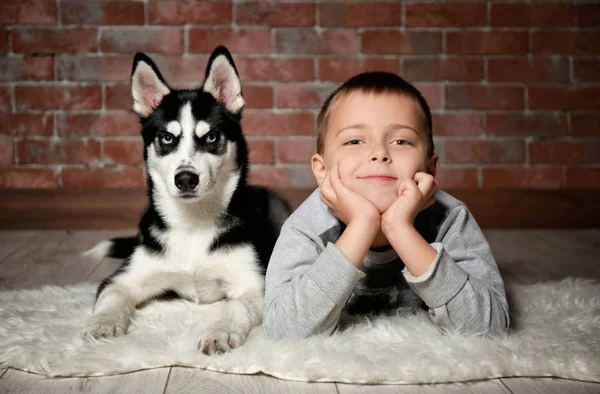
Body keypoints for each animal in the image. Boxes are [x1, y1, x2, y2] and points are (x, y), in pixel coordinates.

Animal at [84, 46, 290, 354]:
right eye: (168, 138)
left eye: (212, 137)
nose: (185, 179)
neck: (193, 224)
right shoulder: (124, 277)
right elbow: (112, 296)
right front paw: (103, 323)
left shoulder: (256, 284)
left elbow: (238, 307)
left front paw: (220, 331)